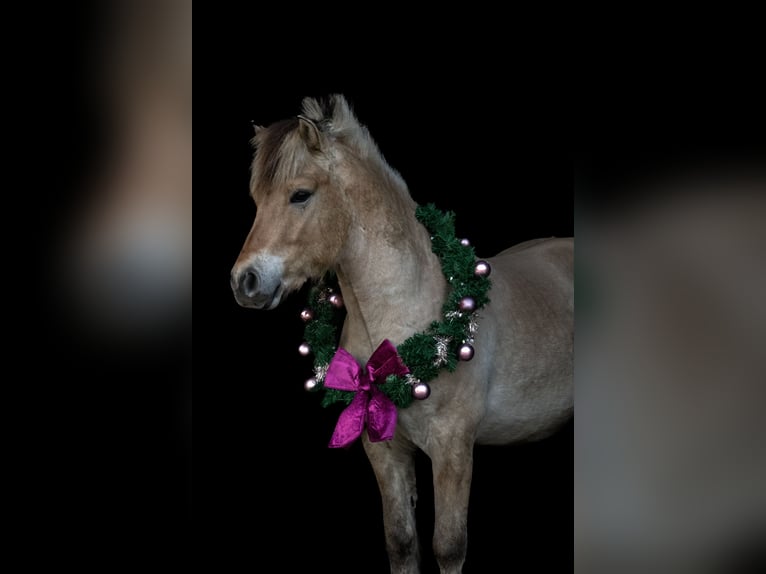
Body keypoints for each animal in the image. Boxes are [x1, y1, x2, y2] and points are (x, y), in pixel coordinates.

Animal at [230, 95, 573, 574]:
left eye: (300, 194)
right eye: (256, 200)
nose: (245, 282)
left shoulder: (453, 447)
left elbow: (448, 545)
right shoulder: (385, 450)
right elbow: (401, 541)